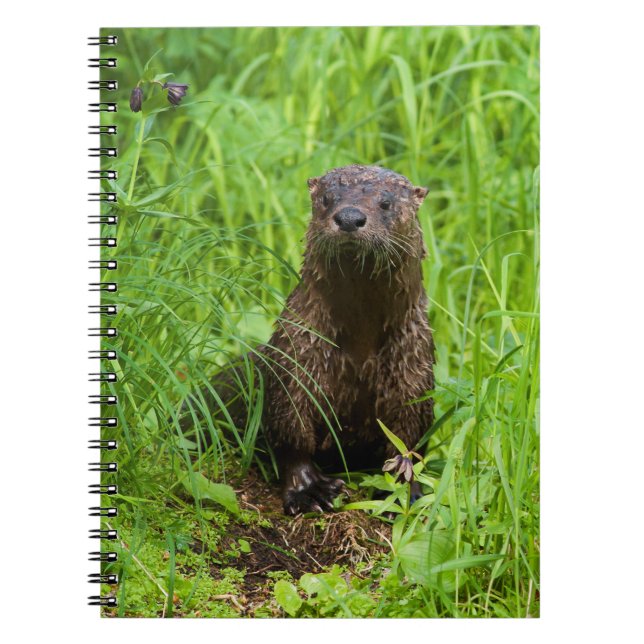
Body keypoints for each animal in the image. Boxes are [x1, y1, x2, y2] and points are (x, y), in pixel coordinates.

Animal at [259, 164, 435, 514]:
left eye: (385, 203)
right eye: (328, 198)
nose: (350, 217)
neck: (360, 348)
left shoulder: (415, 367)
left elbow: (410, 436)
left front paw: (404, 487)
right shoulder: (296, 356)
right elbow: (290, 430)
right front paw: (309, 489)